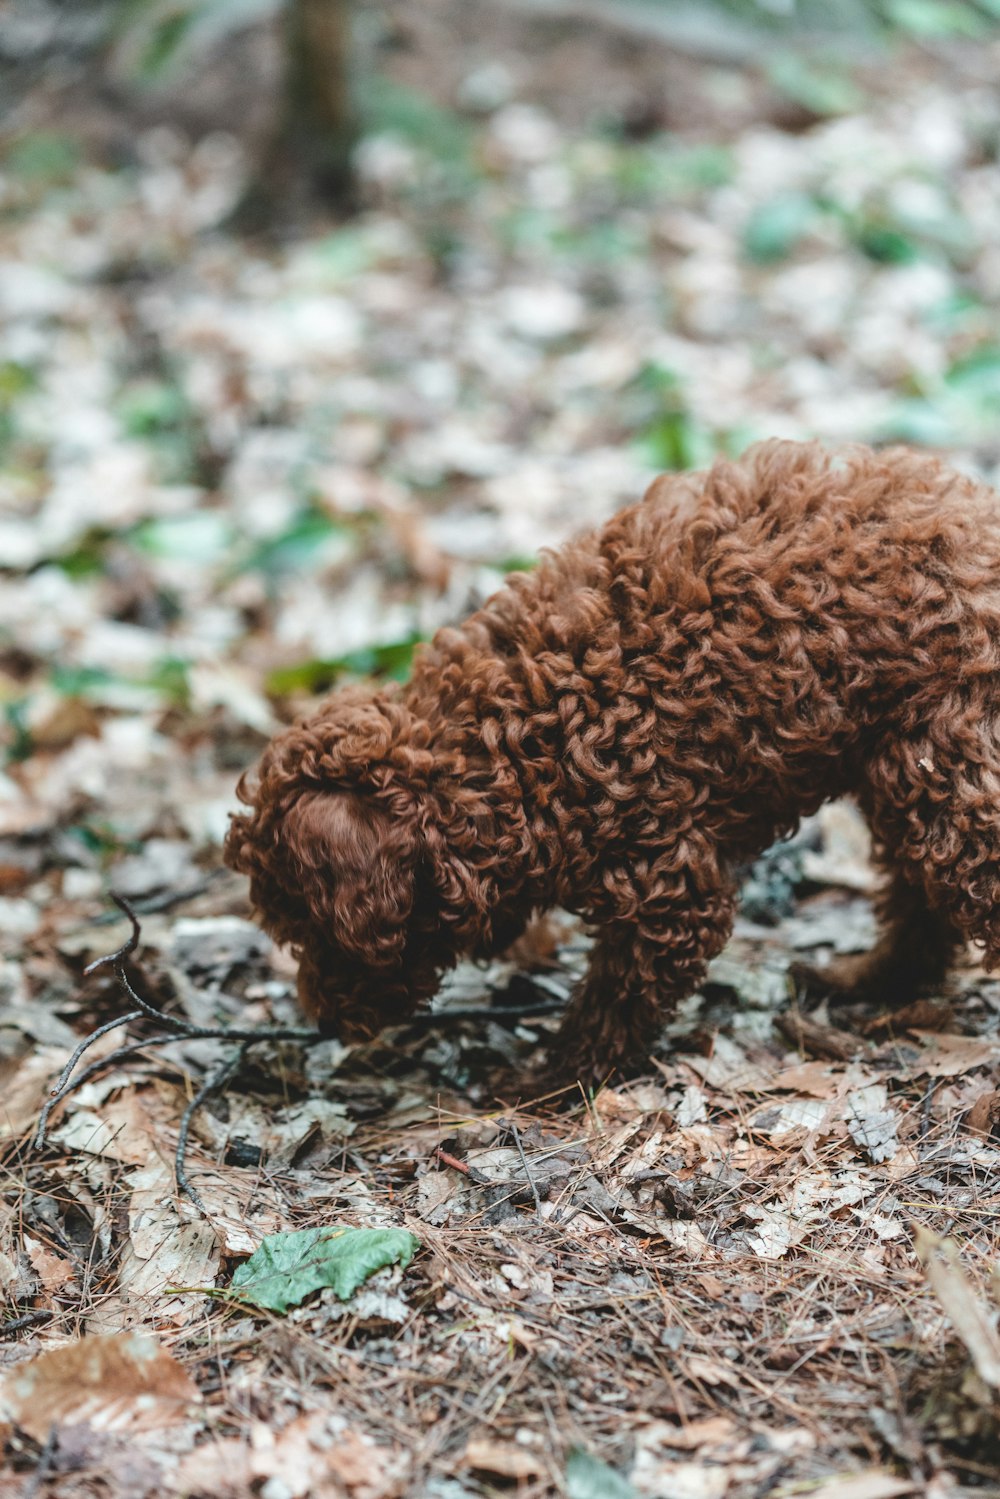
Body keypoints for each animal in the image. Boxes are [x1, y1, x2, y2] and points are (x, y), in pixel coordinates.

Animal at [224, 437, 1000, 1085]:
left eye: (313, 931)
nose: (323, 1022)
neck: (493, 748)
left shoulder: (668, 885)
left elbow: (614, 1002)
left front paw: (547, 1082)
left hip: (953, 764)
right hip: (903, 768)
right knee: (920, 901)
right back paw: (868, 980)